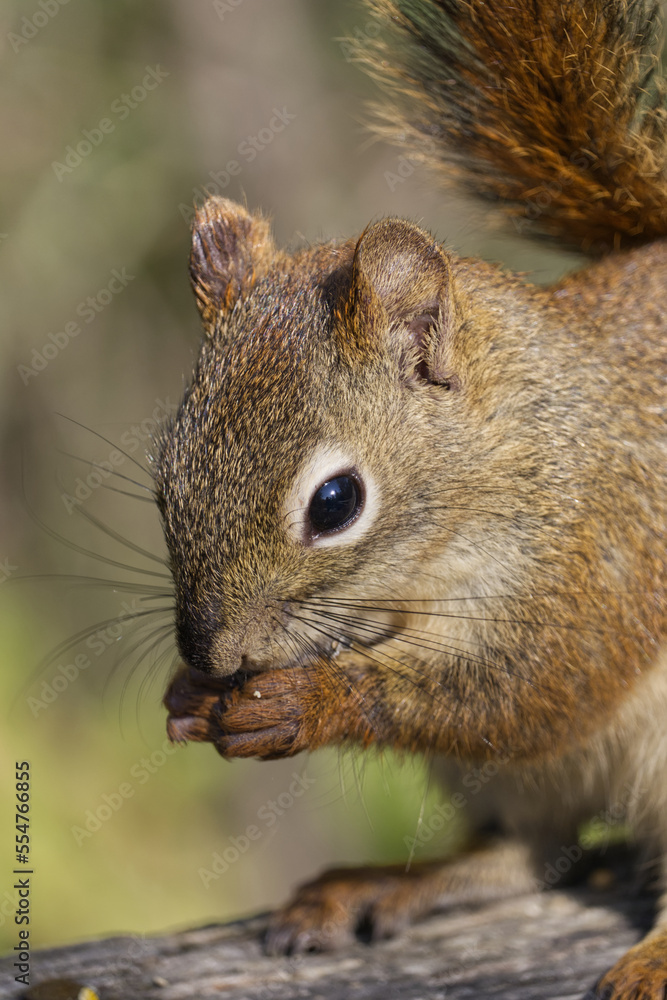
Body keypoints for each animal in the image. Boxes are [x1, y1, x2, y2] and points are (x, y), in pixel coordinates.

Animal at [159, 0, 667, 996]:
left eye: (335, 502)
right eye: (165, 474)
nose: (213, 651)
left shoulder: (600, 560)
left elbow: (532, 689)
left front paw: (310, 702)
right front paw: (187, 696)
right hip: (511, 786)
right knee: (521, 855)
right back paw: (382, 887)